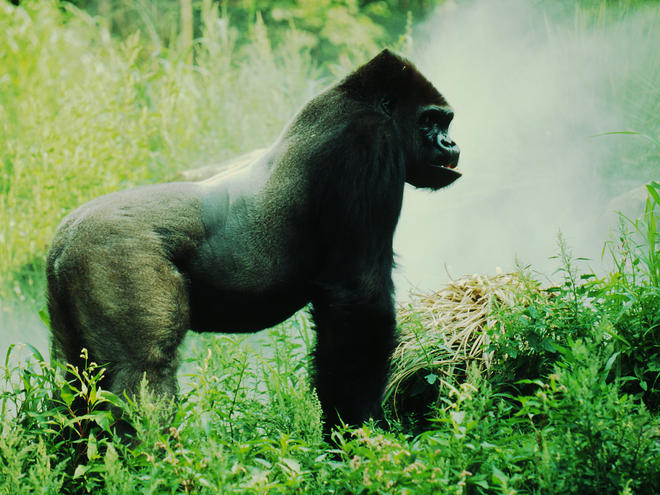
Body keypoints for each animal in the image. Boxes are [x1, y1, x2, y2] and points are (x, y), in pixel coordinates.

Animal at [46, 48, 458, 432]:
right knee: (142, 374)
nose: (451, 144)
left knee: (76, 385)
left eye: (445, 121)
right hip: (115, 254)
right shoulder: (369, 143)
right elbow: (358, 299)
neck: (356, 101)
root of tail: (63, 240)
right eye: (430, 120)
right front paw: (356, 432)